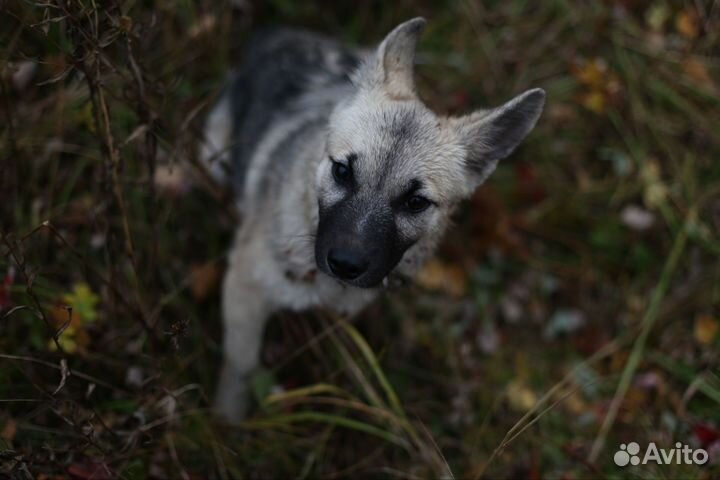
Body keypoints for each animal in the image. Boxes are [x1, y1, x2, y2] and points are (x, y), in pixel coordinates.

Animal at [200, 16, 544, 422]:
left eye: (415, 202)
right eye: (342, 171)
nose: (345, 264)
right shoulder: (243, 290)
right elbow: (241, 364)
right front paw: (227, 419)